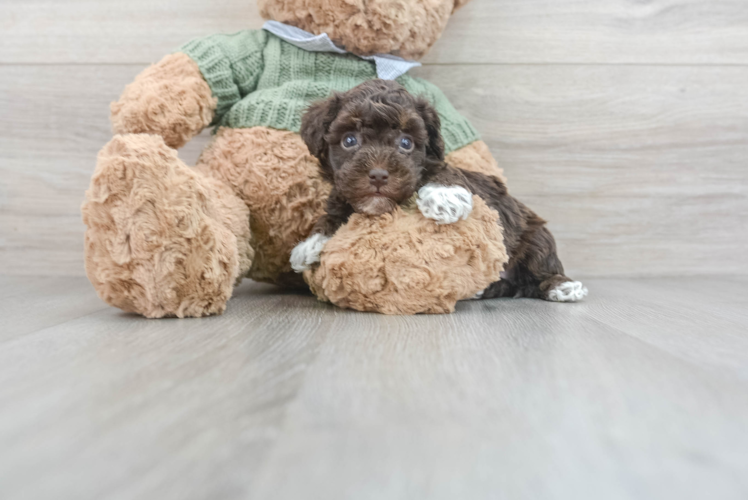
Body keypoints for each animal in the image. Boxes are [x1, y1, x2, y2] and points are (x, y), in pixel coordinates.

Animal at [290, 80, 588, 302]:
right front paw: (311, 243)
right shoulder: (342, 193)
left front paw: (445, 196)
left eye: (406, 143)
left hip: (537, 237)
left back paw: (562, 286)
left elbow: (442, 171)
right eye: (350, 140)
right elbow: (334, 210)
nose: (378, 175)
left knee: (540, 269)